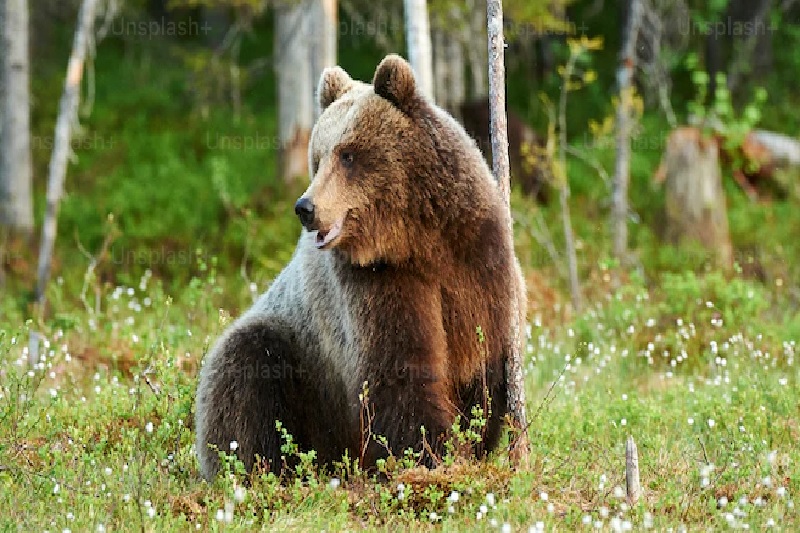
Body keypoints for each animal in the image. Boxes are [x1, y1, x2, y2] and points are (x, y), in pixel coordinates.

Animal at [195, 54, 527, 480]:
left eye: (347, 154)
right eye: (318, 157)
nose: (306, 208)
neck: (417, 241)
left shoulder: (477, 261)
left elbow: (480, 360)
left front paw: (465, 442)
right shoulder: (375, 282)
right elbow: (398, 370)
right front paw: (430, 453)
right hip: (297, 358)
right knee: (245, 374)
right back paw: (266, 468)